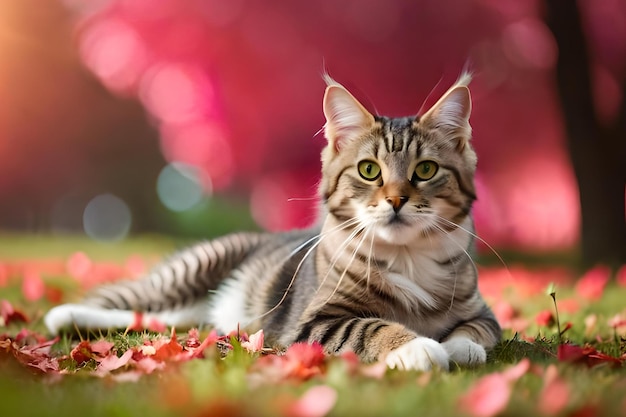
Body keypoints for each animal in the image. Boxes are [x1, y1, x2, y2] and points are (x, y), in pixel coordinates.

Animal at [45, 72, 498, 370]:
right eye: (370, 171)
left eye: (425, 170)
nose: (397, 200)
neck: (407, 257)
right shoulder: (316, 323)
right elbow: (371, 327)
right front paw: (417, 347)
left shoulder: (484, 312)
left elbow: (476, 331)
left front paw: (459, 347)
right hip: (190, 272)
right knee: (131, 303)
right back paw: (65, 316)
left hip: (193, 313)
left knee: (162, 320)